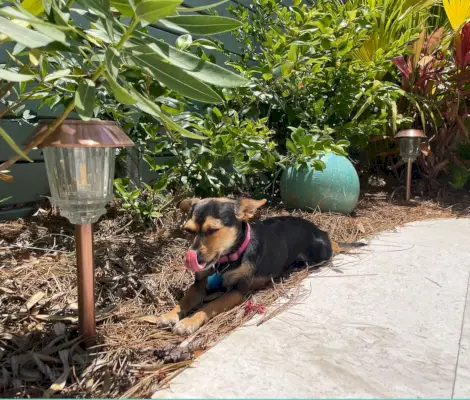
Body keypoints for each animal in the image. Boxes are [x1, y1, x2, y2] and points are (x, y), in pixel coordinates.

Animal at [158, 197, 346, 334]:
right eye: (188, 231)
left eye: (213, 230)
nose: (192, 257)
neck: (226, 261)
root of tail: (323, 232)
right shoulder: (198, 284)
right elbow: (185, 299)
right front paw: (170, 314)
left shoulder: (237, 291)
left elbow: (208, 306)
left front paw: (189, 321)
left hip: (318, 255)